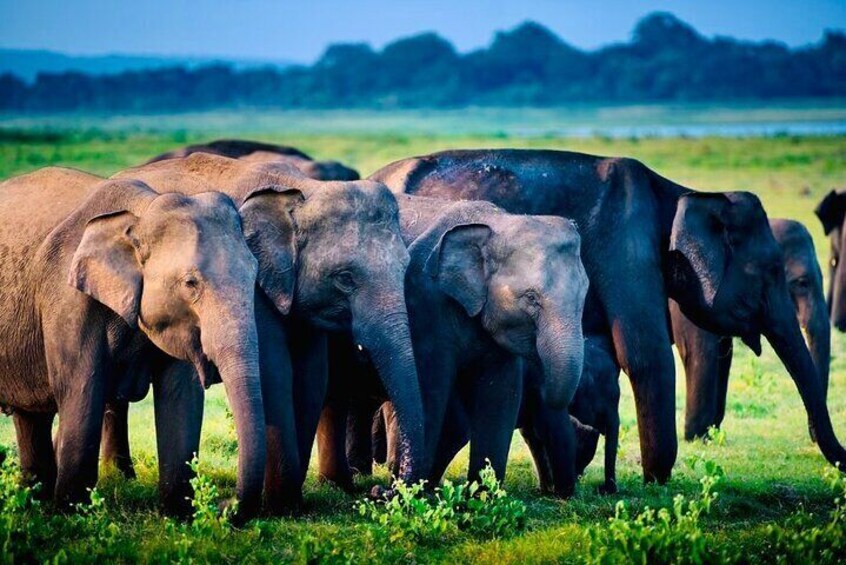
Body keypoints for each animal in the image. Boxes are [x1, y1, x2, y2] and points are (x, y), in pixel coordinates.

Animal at [0, 164, 268, 516]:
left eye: (254, 275)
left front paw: (178, 513)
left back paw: (34, 499)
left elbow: (180, 395)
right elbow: (82, 390)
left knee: (31, 416)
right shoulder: (67, 299)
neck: (142, 212)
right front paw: (73, 513)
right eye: (190, 283)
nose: (223, 503)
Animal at [99, 152, 424, 512]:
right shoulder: (255, 292)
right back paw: (119, 477)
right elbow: (275, 372)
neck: (303, 191)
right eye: (344, 278)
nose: (381, 491)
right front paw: (280, 506)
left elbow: (311, 377)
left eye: (405, 267)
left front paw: (289, 503)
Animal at [318, 195, 588, 494]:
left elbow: (501, 394)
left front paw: (480, 496)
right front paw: (409, 495)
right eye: (531, 298)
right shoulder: (423, 302)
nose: (380, 492)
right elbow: (429, 389)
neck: (497, 222)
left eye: (584, 296)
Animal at [676, 218, 836, 438]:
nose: (811, 437)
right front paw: (698, 437)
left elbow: (723, 354)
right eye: (802, 283)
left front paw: (712, 432)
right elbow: (699, 349)